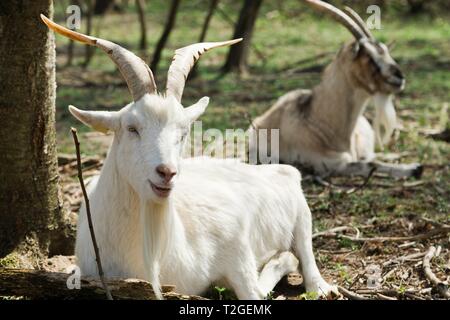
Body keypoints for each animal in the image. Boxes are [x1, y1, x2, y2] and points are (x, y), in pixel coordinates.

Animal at [42, 15, 336, 300]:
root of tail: (279, 170)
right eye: (132, 128)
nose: (167, 172)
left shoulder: (236, 242)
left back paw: (317, 284)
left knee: (306, 257)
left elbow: (254, 292)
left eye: (183, 132)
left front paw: (280, 263)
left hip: (302, 216)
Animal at [250, 0, 422, 179]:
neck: (318, 120)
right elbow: (371, 164)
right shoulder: (333, 165)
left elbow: (371, 160)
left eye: (385, 50)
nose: (399, 77)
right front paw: (413, 168)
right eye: (368, 56)